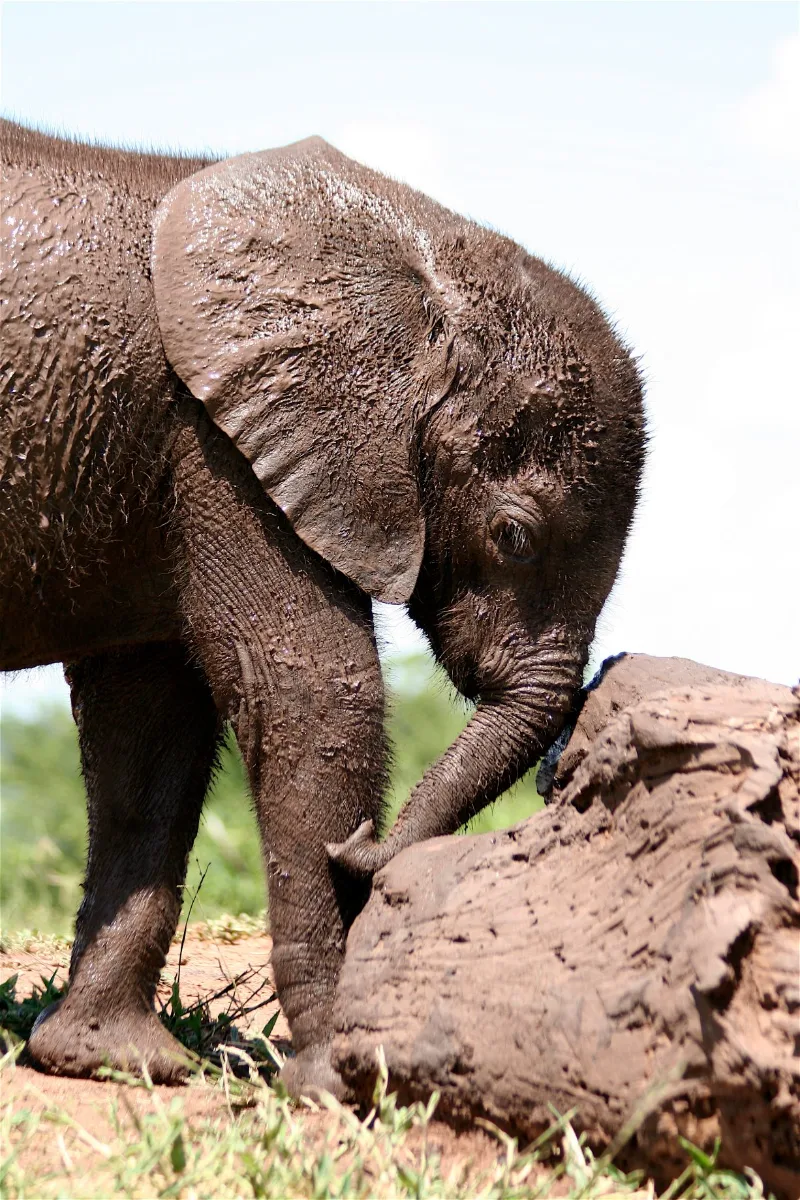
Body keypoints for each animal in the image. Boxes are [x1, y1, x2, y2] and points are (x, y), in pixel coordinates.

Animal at [0, 119, 646, 1095]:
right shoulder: (217, 442)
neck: (417, 263)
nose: (364, 849)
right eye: (514, 536)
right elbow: (312, 695)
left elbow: (149, 731)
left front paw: (110, 1059)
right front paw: (343, 1078)